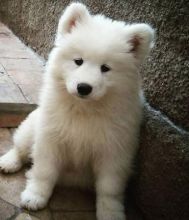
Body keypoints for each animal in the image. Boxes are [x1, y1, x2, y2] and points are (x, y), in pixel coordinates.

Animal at [0, 2, 154, 219]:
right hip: (32, 125)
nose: (84, 87)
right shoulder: (50, 138)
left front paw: (111, 213)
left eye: (105, 68)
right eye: (78, 61)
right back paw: (8, 162)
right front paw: (35, 197)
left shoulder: (115, 151)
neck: (85, 108)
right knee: (20, 146)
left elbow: (110, 188)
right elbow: (44, 171)